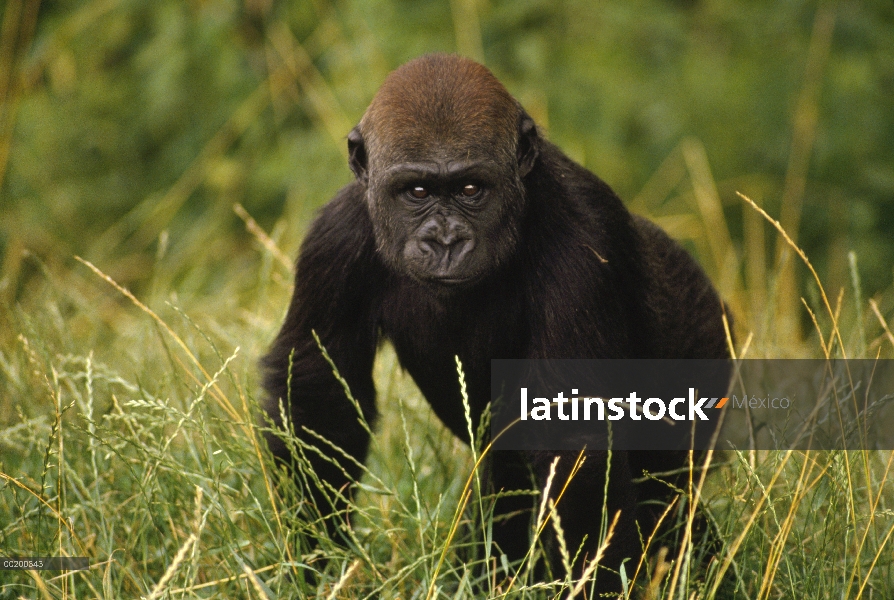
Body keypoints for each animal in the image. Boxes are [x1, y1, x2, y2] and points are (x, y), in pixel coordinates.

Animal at [262, 52, 732, 592]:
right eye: (416, 191)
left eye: (471, 189)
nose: (445, 241)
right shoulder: (334, 239)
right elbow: (320, 397)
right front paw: (310, 559)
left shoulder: (582, 237)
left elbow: (572, 439)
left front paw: (597, 584)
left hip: (705, 341)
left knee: (667, 497)